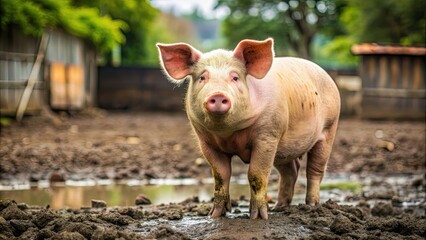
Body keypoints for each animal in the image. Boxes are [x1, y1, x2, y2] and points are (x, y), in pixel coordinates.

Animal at [156, 38, 340, 219]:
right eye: (202, 77)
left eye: (235, 77)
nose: (218, 95)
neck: (227, 132)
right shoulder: (206, 142)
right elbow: (220, 175)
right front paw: (214, 215)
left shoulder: (268, 136)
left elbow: (256, 174)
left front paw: (258, 217)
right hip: (283, 149)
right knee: (290, 171)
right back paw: (279, 207)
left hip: (329, 128)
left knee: (314, 171)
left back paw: (311, 206)